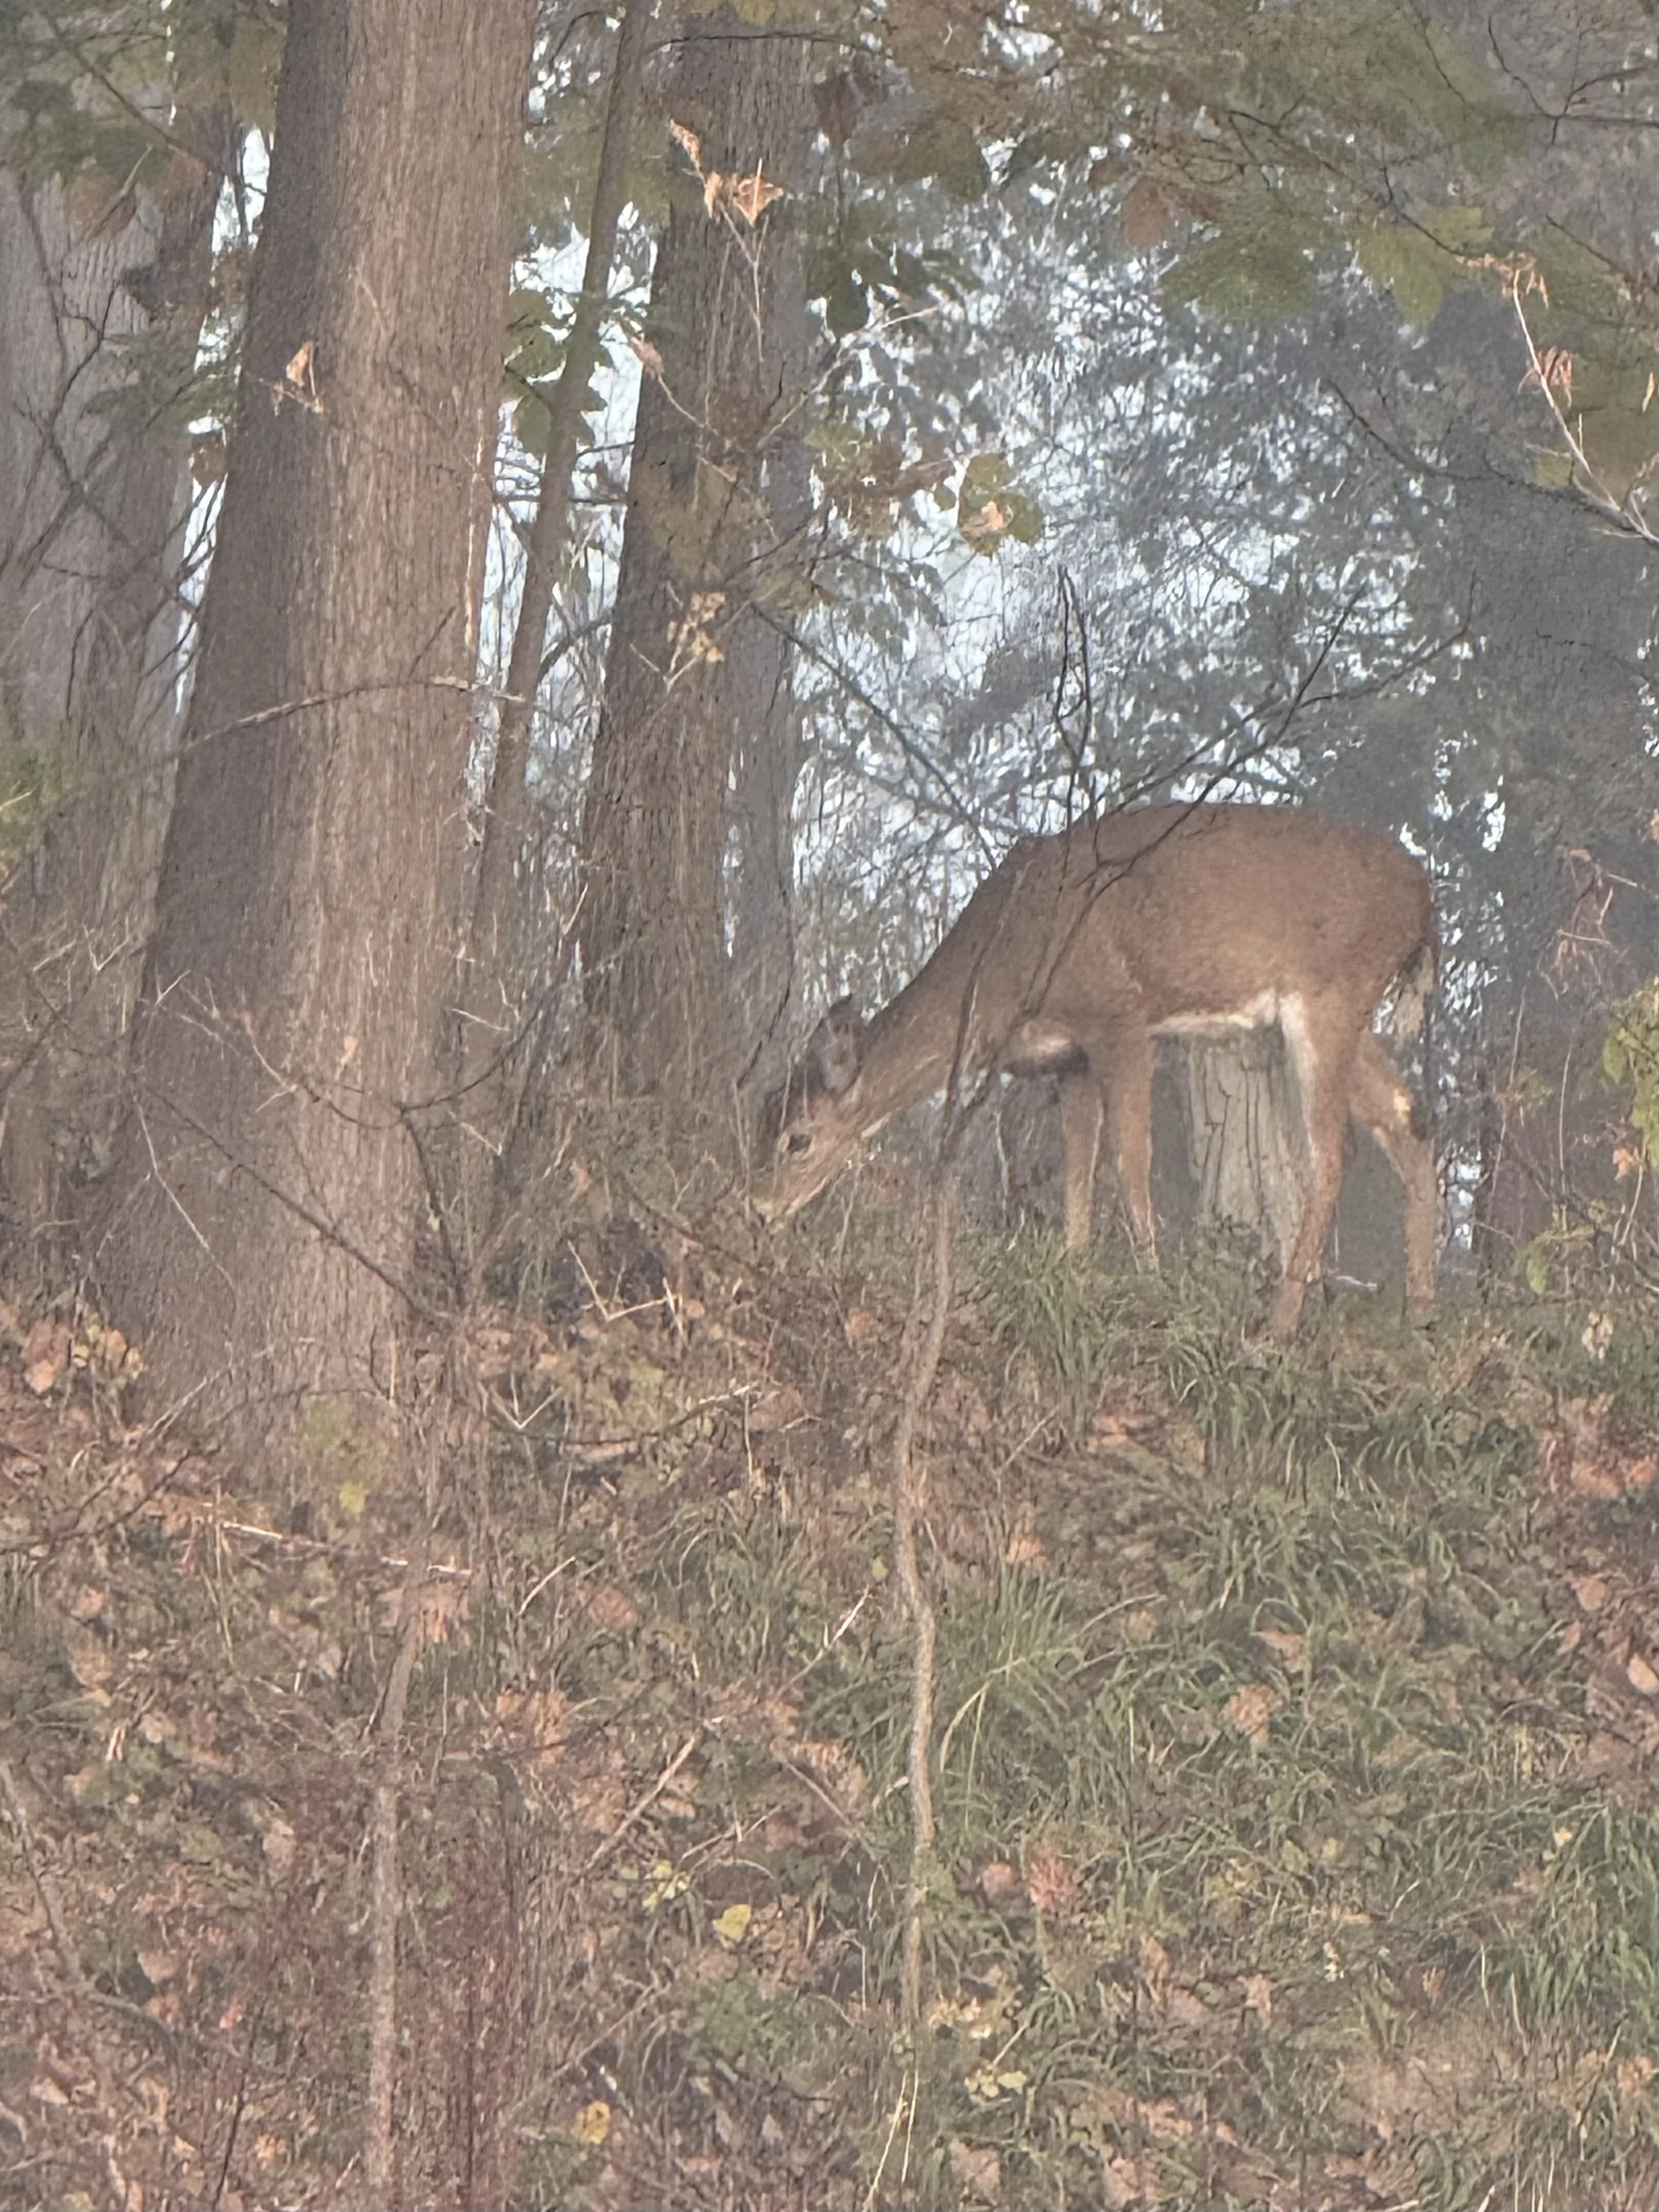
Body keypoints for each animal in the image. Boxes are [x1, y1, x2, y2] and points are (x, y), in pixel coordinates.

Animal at [754, 803, 1438, 1336]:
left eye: (799, 1138)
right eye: (765, 1119)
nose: (760, 1208)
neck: (1003, 968)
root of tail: (1425, 899)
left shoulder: (1120, 1017)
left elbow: (1128, 1159)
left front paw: (1150, 1285)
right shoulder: (1071, 1057)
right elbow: (1078, 1168)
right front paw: (1074, 1270)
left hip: (1329, 996)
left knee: (1330, 1154)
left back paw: (1279, 1323)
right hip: (1343, 1017)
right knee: (1410, 1117)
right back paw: (1421, 1311)